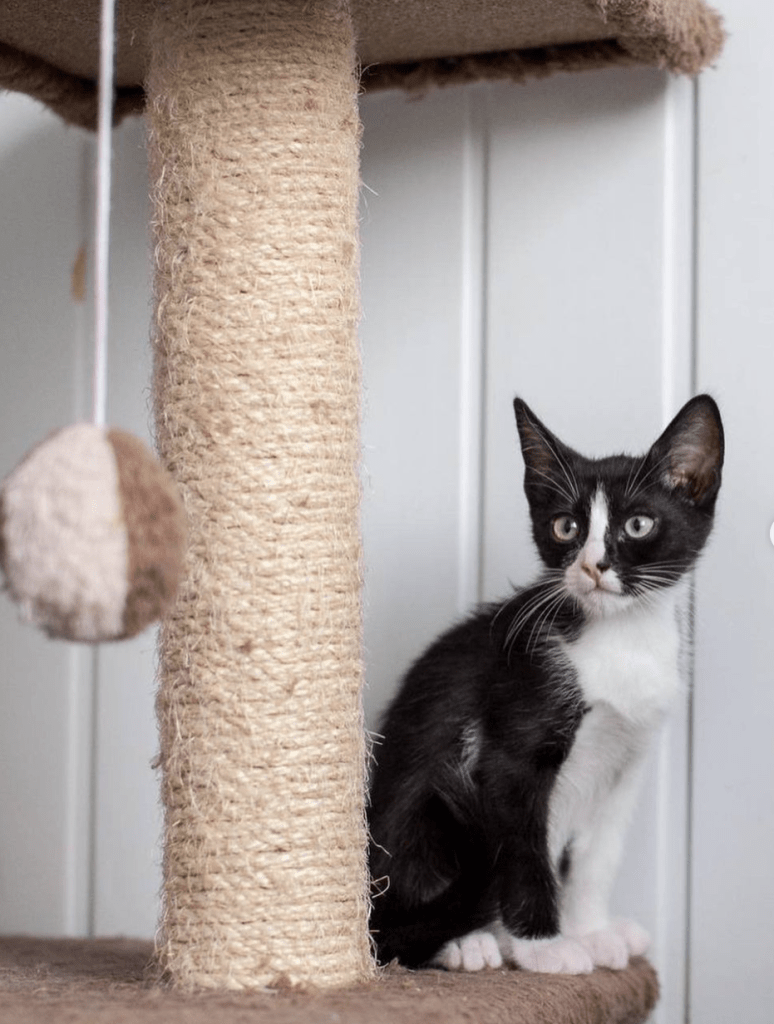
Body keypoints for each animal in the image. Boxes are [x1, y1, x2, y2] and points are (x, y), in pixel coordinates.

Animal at [366, 393, 720, 974]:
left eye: (638, 525)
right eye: (566, 528)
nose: (594, 566)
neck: (620, 638)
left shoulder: (628, 758)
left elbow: (597, 854)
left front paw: (592, 932)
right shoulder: (512, 744)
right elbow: (525, 849)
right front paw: (544, 949)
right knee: (398, 926)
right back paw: (469, 943)